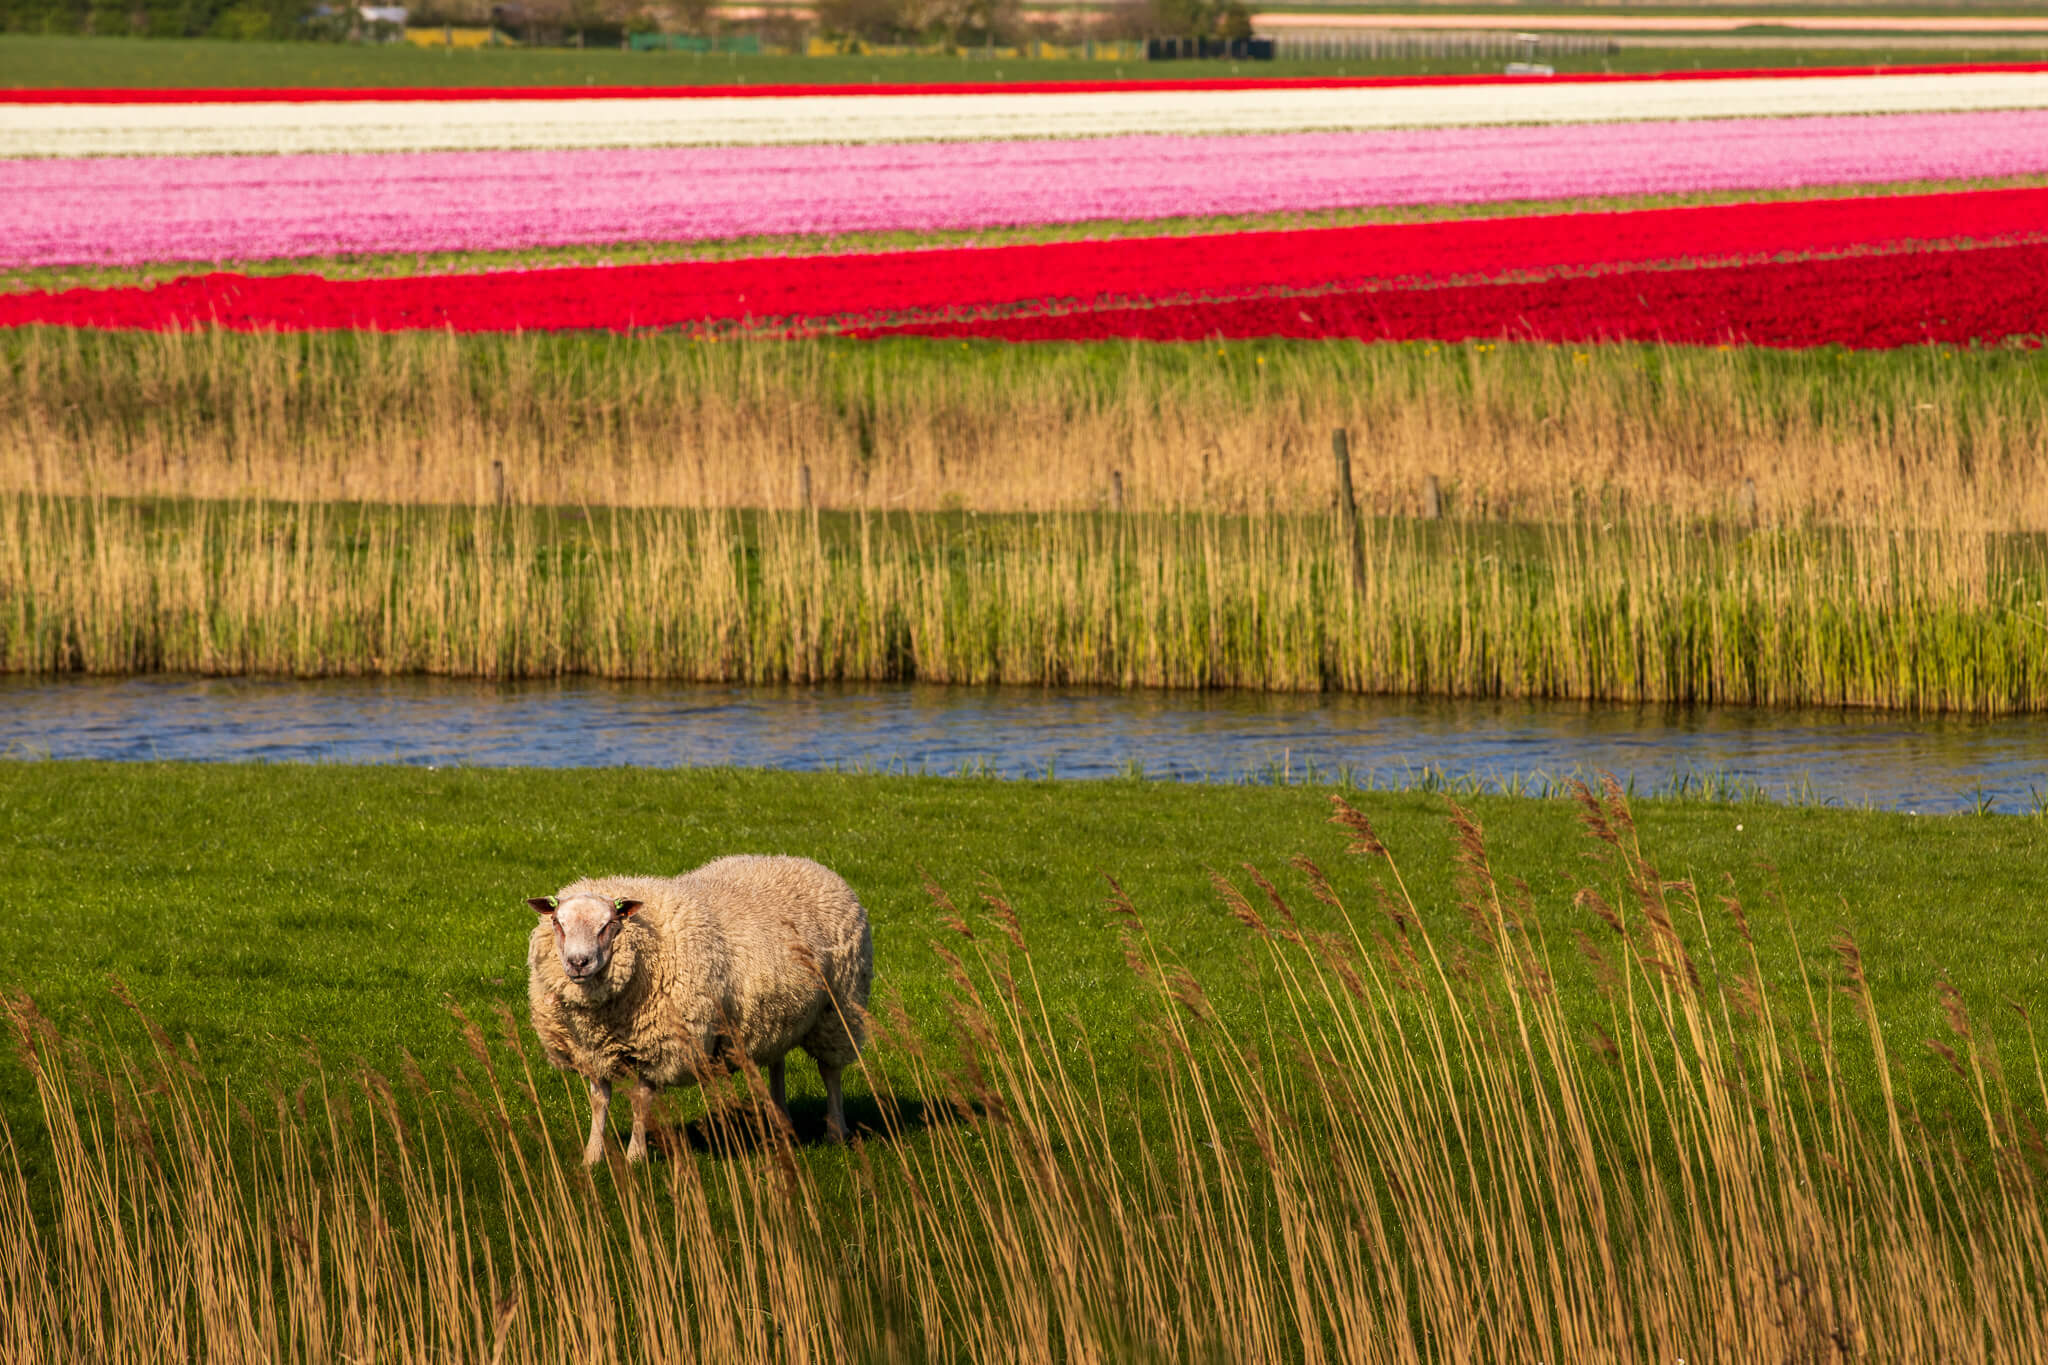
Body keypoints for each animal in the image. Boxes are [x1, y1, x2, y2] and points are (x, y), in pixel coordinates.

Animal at [525, 855, 871, 1164]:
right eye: (558, 923)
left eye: (608, 925)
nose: (578, 962)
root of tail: (807, 862)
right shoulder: (591, 1051)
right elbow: (599, 1101)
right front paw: (592, 1158)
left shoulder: (658, 1049)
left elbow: (640, 1101)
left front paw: (635, 1158)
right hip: (779, 1012)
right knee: (777, 1060)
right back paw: (780, 1123)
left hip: (839, 1007)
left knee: (830, 1071)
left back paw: (836, 1131)